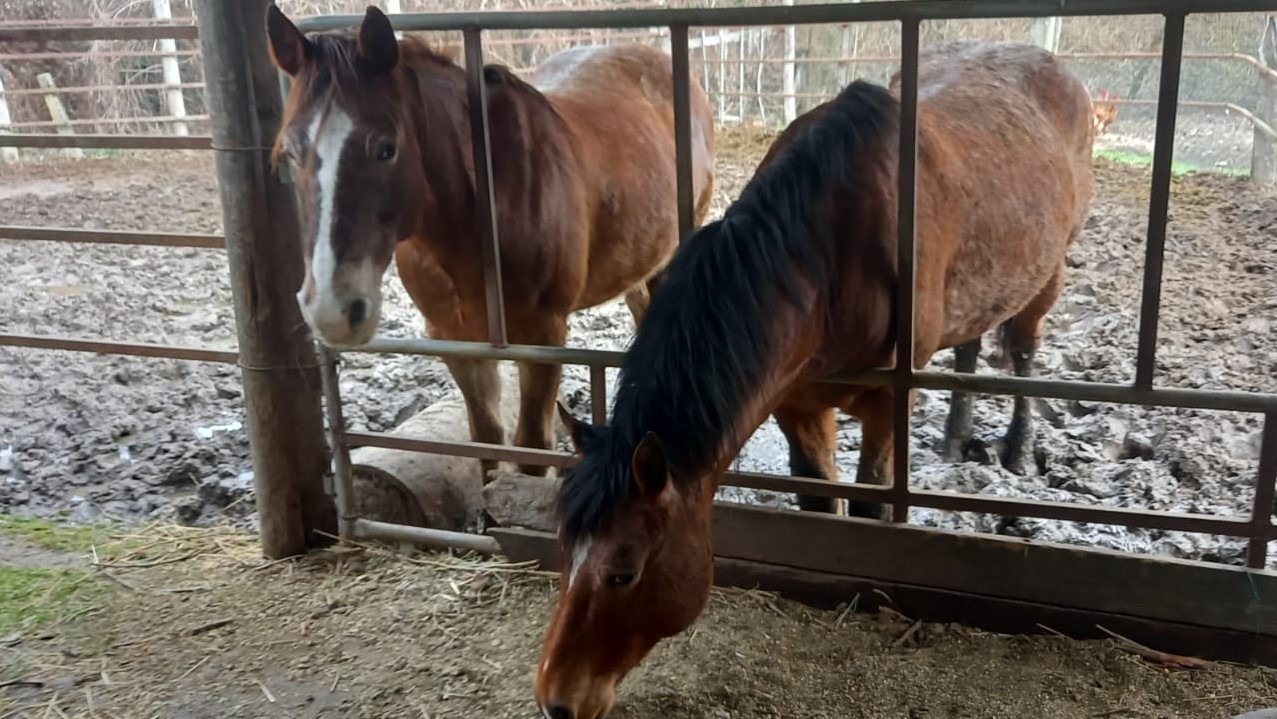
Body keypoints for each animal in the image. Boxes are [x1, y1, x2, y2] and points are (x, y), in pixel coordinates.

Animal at [264, 6, 716, 481]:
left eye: (386, 148)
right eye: (289, 153)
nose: (332, 310)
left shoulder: (542, 336)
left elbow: (532, 450)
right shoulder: (455, 339)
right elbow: (485, 438)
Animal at [534, 41, 1094, 719]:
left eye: (624, 572)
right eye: (563, 547)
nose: (557, 699)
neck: (833, 260)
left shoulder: (885, 406)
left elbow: (869, 505)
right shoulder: (797, 403)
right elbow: (820, 505)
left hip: (1048, 275)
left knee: (1025, 352)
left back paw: (1016, 448)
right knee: (970, 346)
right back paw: (958, 436)